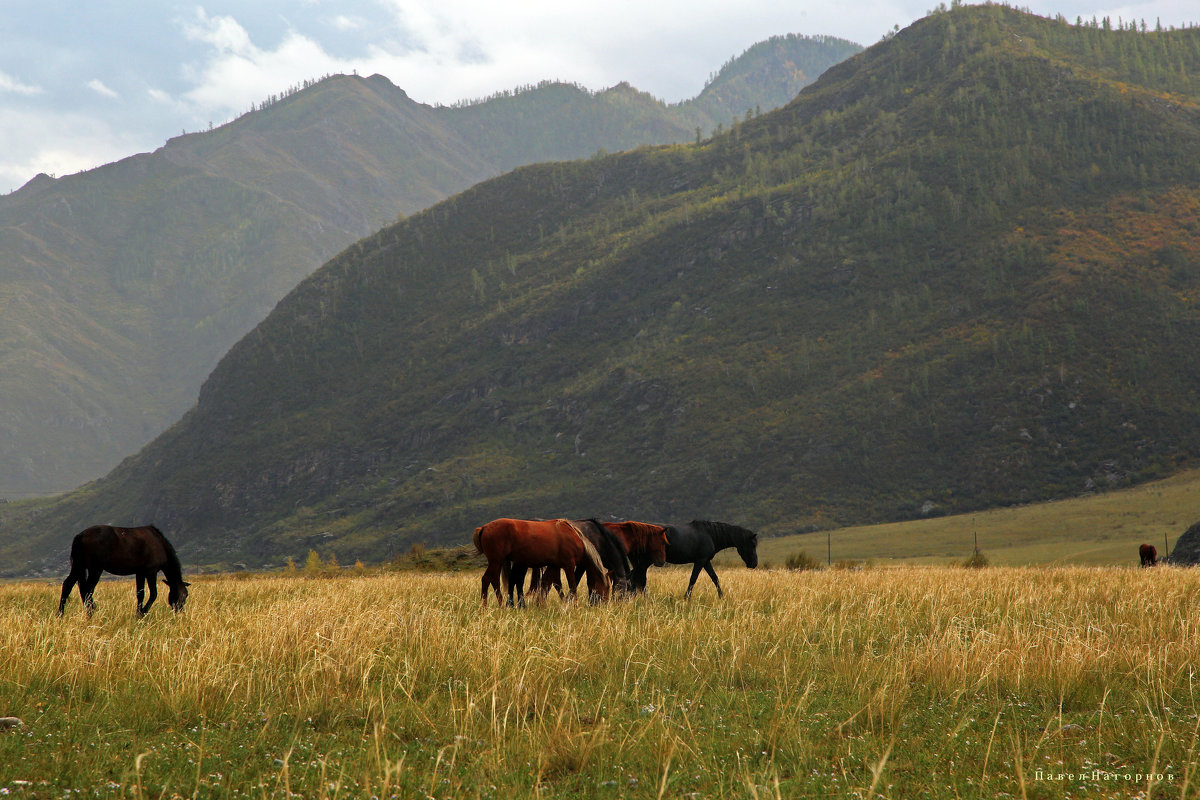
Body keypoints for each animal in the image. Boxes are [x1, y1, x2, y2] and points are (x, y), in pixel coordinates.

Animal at [58, 525, 189, 618]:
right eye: (183, 595)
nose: (180, 613)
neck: (159, 543)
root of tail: (80, 536)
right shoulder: (151, 572)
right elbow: (153, 594)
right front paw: (143, 613)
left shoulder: (140, 573)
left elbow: (140, 594)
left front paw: (138, 614)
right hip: (95, 569)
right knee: (87, 590)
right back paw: (90, 612)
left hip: (79, 566)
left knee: (68, 585)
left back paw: (61, 614)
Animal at [472, 520, 609, 606]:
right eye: (607, 587)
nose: (605, 604)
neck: (575, 538)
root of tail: (483, 528)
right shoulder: (568, 565)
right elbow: (572, 586)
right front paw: (574, 604)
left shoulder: (554, 566)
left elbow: (552, 583)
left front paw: (551, 603)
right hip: (496, 561)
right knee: (488, 579)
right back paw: (493, 605)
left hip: (498, 562)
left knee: (494, 580)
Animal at [628, 522, 758, 597]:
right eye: (752, 545)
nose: (754, 564)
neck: (710, 534)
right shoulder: (700, 561)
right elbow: (693, 579)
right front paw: (686, 598)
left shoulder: (706, 561)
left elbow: (715, 578)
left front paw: (721, 596)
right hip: (645, 561)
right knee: (636, 577)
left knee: (637, 577)